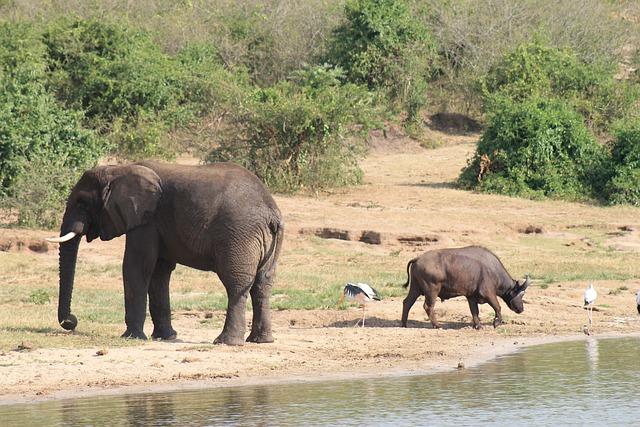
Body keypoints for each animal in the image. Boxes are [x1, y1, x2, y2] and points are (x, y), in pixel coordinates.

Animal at [46, 162, 282, 346]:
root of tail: (271, 212)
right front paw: (165, 337)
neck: (118, 169)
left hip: (238, 236)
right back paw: (261, 340)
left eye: (82, 202)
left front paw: (132, 337)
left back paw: (225, 342)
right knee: (262, 284)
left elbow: (136, 266)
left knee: (235, 284)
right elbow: (159, 272)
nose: (71, 322)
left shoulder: (146, 220)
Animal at [400, 246, 528, 330]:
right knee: (428, 306)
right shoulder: (488, 293)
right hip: (432, 291)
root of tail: (418, 258)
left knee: (407, 302)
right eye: (520, 294)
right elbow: (498, 307)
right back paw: (437, 325)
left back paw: (404, 324)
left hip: (415, 288)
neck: (493, 270)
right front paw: (496, 323)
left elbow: (474, 311)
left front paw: (478, 326)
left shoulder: (471, 297)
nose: (521, 309)